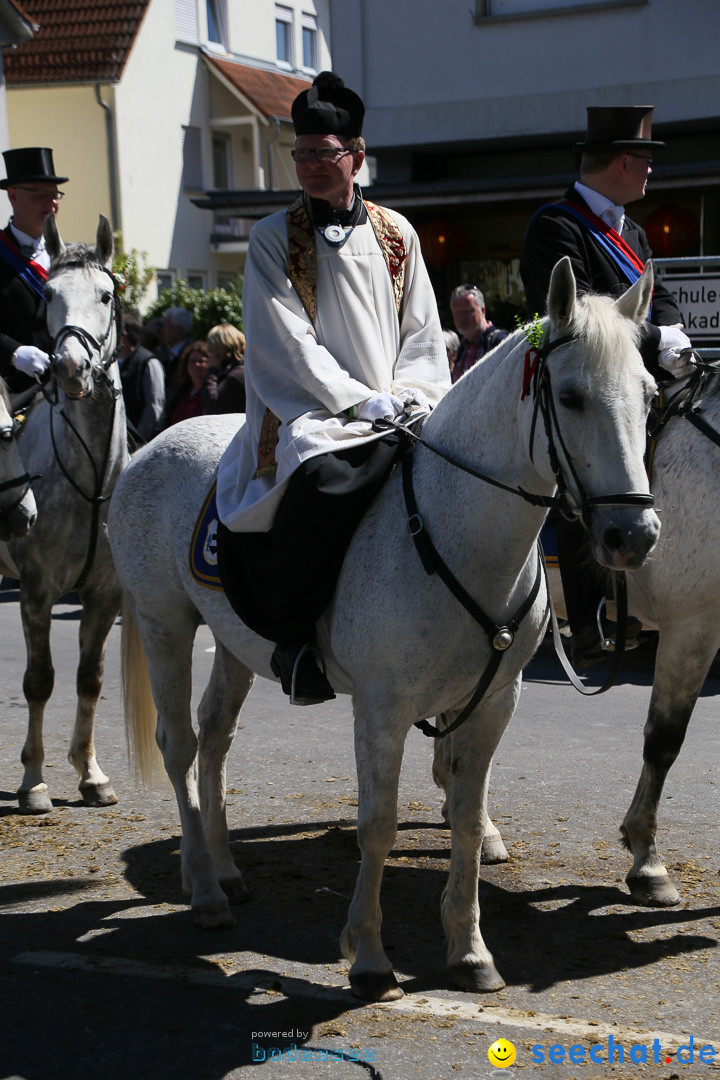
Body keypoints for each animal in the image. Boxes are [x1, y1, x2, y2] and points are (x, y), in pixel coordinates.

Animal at [111, 257, 660, 997]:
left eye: (651, 395)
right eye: (571, 397)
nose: (634, 536)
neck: (453, 531)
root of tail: (152, 445)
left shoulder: (494, 703)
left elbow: (465, 819)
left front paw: (469, 950)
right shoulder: (382, 709)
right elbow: (377, 825)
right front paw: (370, 957)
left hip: (232, 642)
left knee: (216, 737)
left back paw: (225, 870)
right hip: (163, 622)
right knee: (179, 744)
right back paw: (203, 891)